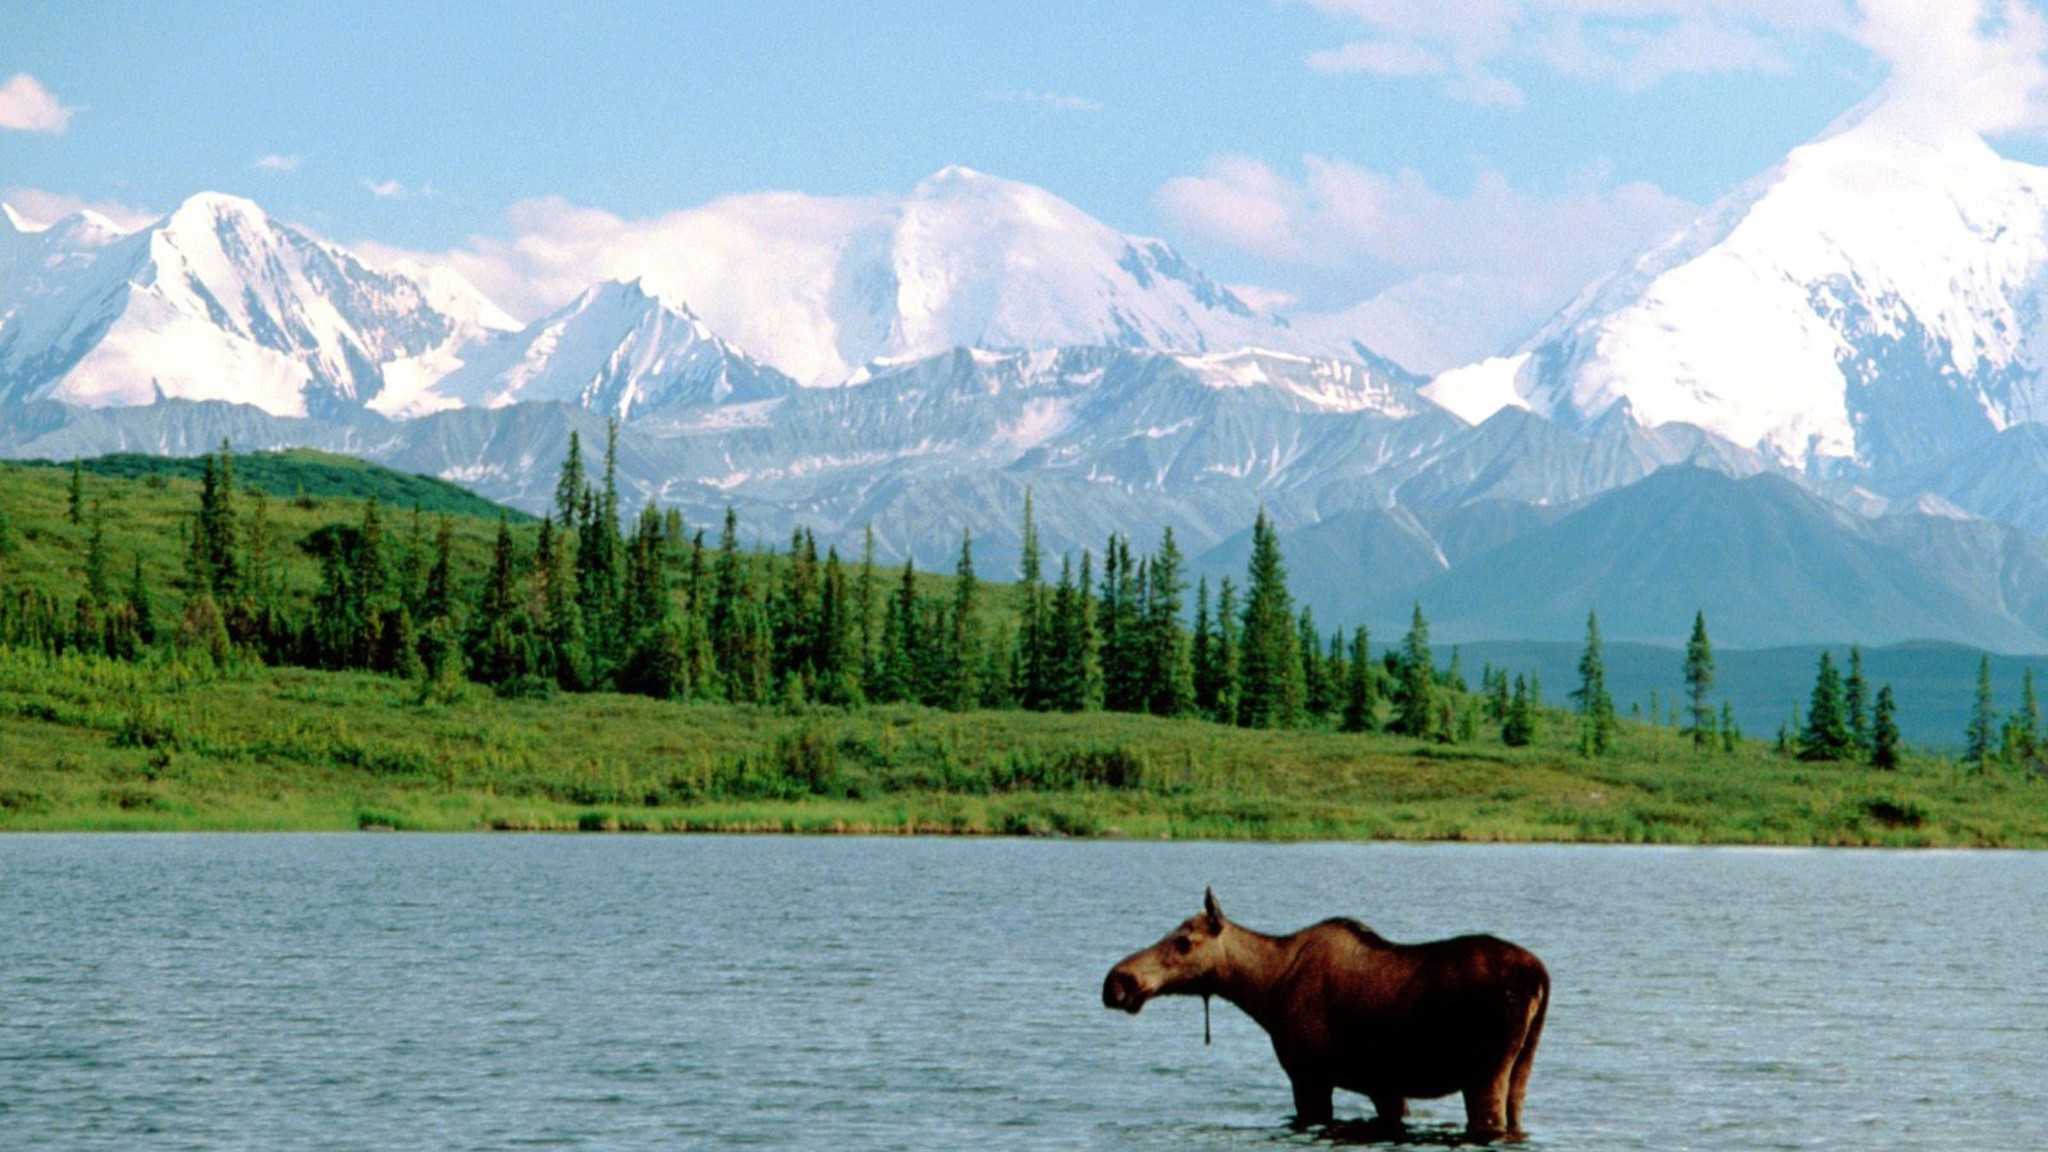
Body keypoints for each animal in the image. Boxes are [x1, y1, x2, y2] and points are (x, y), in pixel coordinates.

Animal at [1105, 881, 1548, 1131]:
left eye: (1183, 941)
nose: (1117, 982)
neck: (1265, 991)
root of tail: (1541, 978)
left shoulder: (1309, 1077)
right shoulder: (1385, 1087)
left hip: (1485, 1074)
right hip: (1521, 1068)